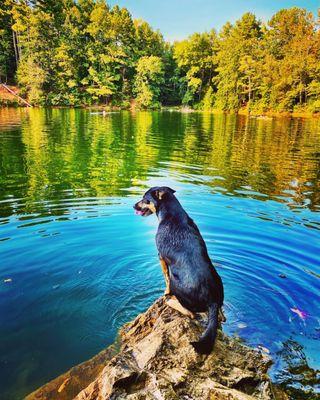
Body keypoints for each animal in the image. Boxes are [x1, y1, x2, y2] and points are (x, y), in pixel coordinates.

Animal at [134, 186, 224, 354]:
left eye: (145, 199)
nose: (133, 206)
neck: (171, 214)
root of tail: (212, 301)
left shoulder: (161, 257)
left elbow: (165, 278)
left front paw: (166, 292)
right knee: (221, 316)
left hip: (177, 283)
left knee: (190, 313)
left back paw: (171, 301)